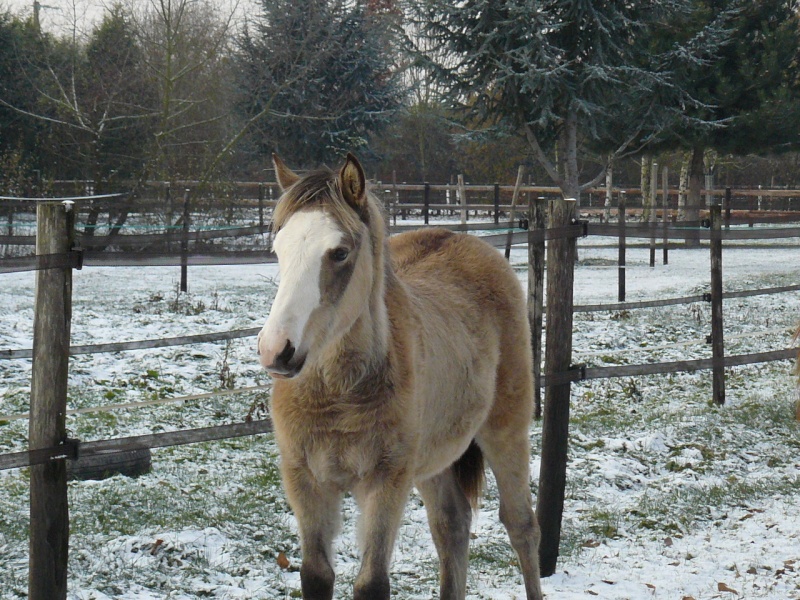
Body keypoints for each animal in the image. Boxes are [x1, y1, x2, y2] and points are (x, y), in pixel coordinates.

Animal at [256, 152, 544, 596]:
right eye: (278, 248)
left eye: (339, 253)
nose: (276, 350)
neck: (339, 394)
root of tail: (461, 238)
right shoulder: (305, 480)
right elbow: (316, 575)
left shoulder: (386, 482)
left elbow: (372, 582)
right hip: (433, 458)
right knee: (452, 525)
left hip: (505, 431)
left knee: (521, 527)